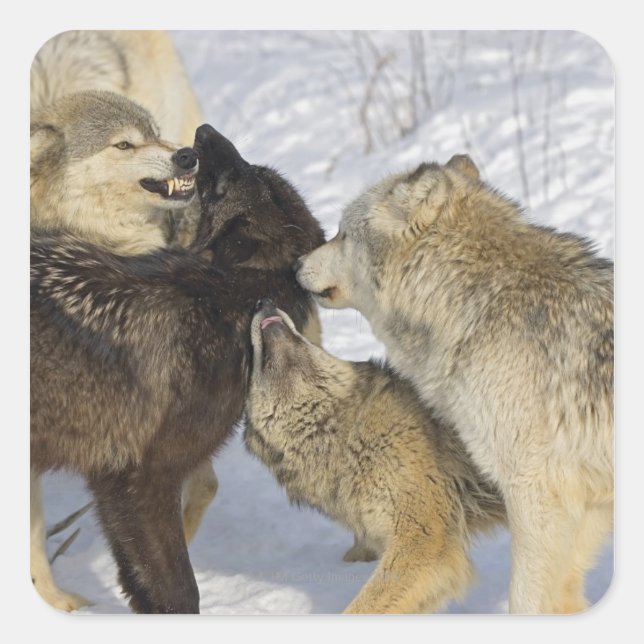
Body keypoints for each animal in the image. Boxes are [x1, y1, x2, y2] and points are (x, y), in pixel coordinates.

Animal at [30, 124, 324, 613]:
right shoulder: (137, 480)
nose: (201, 134)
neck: (228, 303)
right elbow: (180, 592)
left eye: (233, 177)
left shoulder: (122, 484)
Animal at [295, 155, 614, 614]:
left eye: (341, 233)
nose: (294, 264)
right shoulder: (589, 501)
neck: (472, 302)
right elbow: (564, 597)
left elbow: (525, 600)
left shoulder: (534, 494)